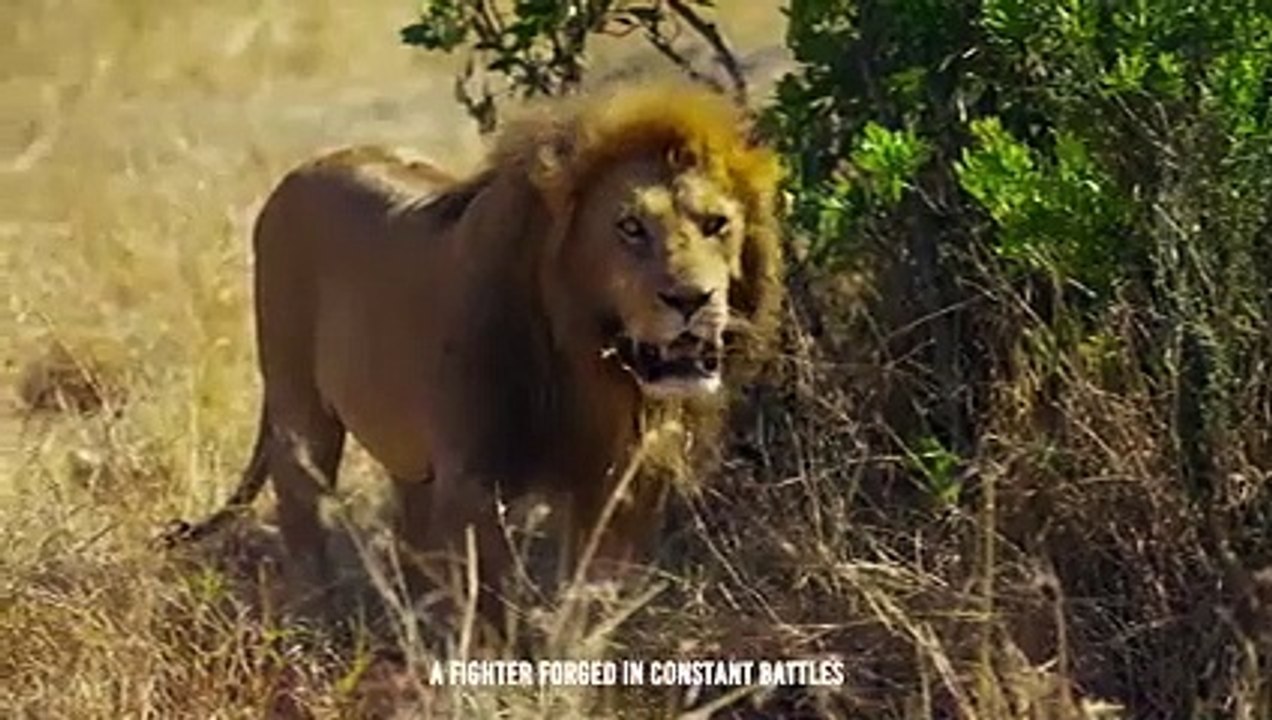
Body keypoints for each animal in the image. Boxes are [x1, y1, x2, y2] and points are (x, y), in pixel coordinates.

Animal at [166, 82, 784, 618]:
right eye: (630, 227)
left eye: (717, 224)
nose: (691, 299)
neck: (590, 367)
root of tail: (309, 166)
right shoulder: (475, 483)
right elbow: (497, 611)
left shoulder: (620, 484)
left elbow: (588, 603)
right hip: (301, 414)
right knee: (306, 525)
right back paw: (317, 623)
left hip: (409, 458)